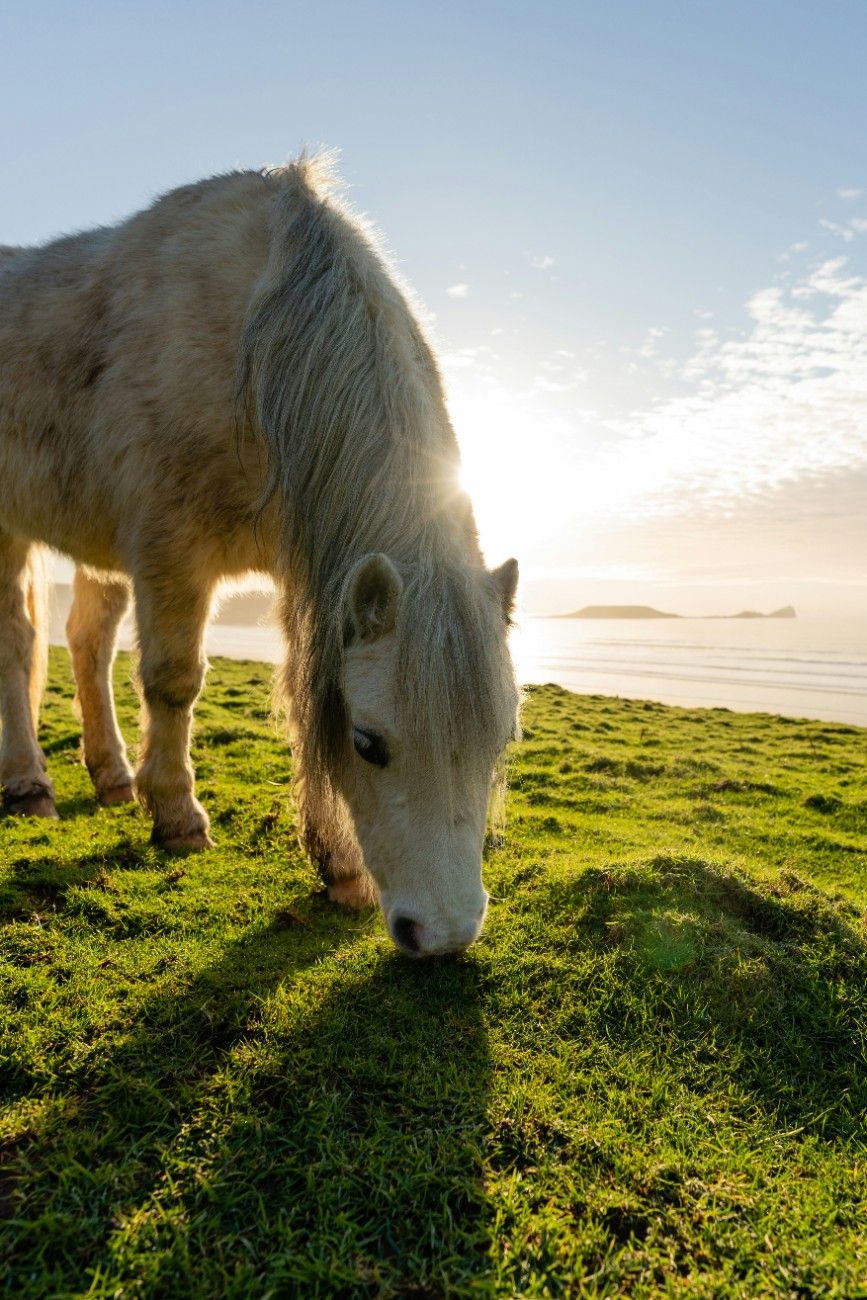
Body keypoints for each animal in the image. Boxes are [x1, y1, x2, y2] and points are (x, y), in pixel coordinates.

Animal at [0, 157, 519, 961]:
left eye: (499, 740)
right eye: (369, 743)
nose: (444, 935)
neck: (256, 340)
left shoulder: (302, 569)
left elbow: (302, 696)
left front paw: (339, 867)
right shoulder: (170, 551)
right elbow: (175, 682)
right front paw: (178, 818)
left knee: (86, 641)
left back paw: (111, 776)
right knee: (19, 645)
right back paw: (30, 785)